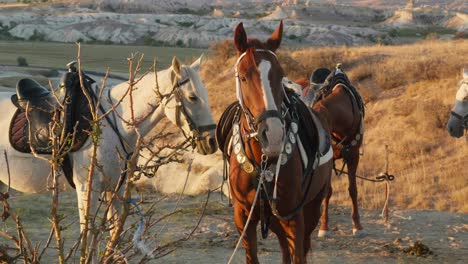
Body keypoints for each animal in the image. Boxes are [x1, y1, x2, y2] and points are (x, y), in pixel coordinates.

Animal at [218, 21, 332, 262]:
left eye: (280, 76)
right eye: (243, 77)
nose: (274, 136)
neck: (262, 163)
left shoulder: (294, 218)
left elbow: (298, 255)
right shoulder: (243, 218)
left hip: (311, 208)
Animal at [298, 66, 368, 237]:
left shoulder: (353, 156)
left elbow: (353, 190)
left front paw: (357, 225)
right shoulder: (328, 161)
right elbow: (327, 192)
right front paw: (324, 226)